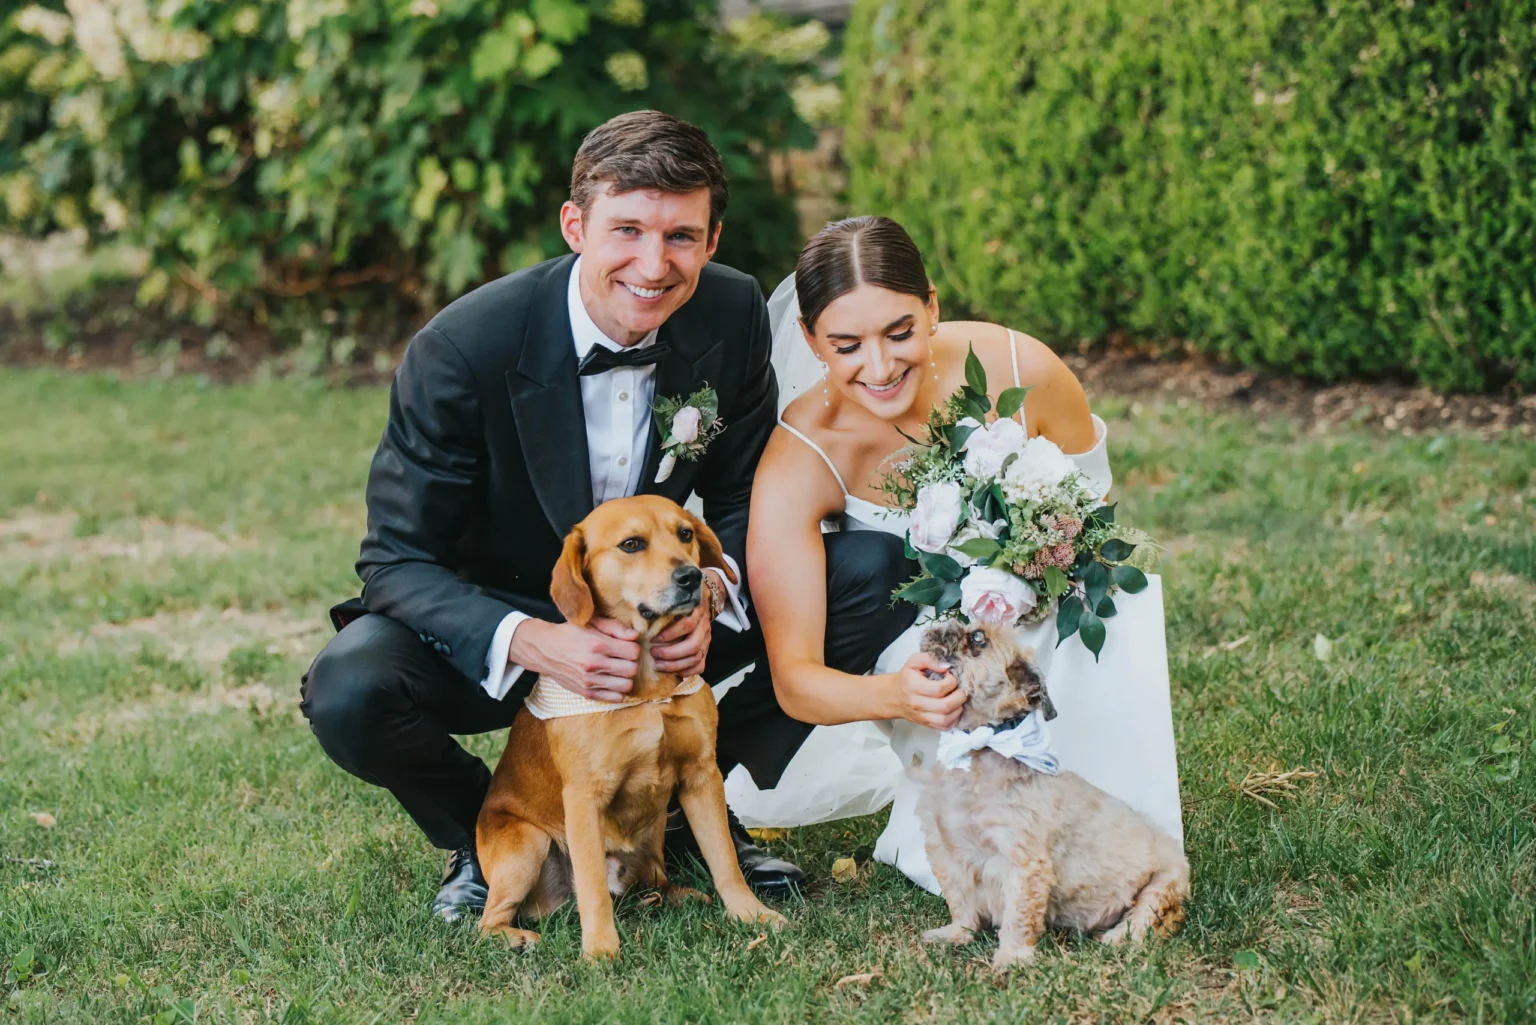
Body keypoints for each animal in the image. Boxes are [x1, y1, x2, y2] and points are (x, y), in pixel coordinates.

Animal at [476, 497, 792, 965]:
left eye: (685, 533)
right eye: (631, 544)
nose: (691, 576)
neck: (647, 687)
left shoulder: (702, 776)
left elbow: (725, 860)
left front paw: (751, 913)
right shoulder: (584, 798)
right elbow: (591, 886)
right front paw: (600, 949)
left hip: (654, 834)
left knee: (654, 881)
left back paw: (674, 896)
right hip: (526, 843)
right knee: (486, 921)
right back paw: (513, 936)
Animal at [909, 617, 1185, 971]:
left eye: (978, 639)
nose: (948, 623)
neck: (978, 752)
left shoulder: (1023, 863)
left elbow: (1018, 916)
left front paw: (1011, 957)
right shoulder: (946, 851)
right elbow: (960, 901)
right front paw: (957, 934)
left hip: (1165, 882)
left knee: (1145, 921)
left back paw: (1116, 938)